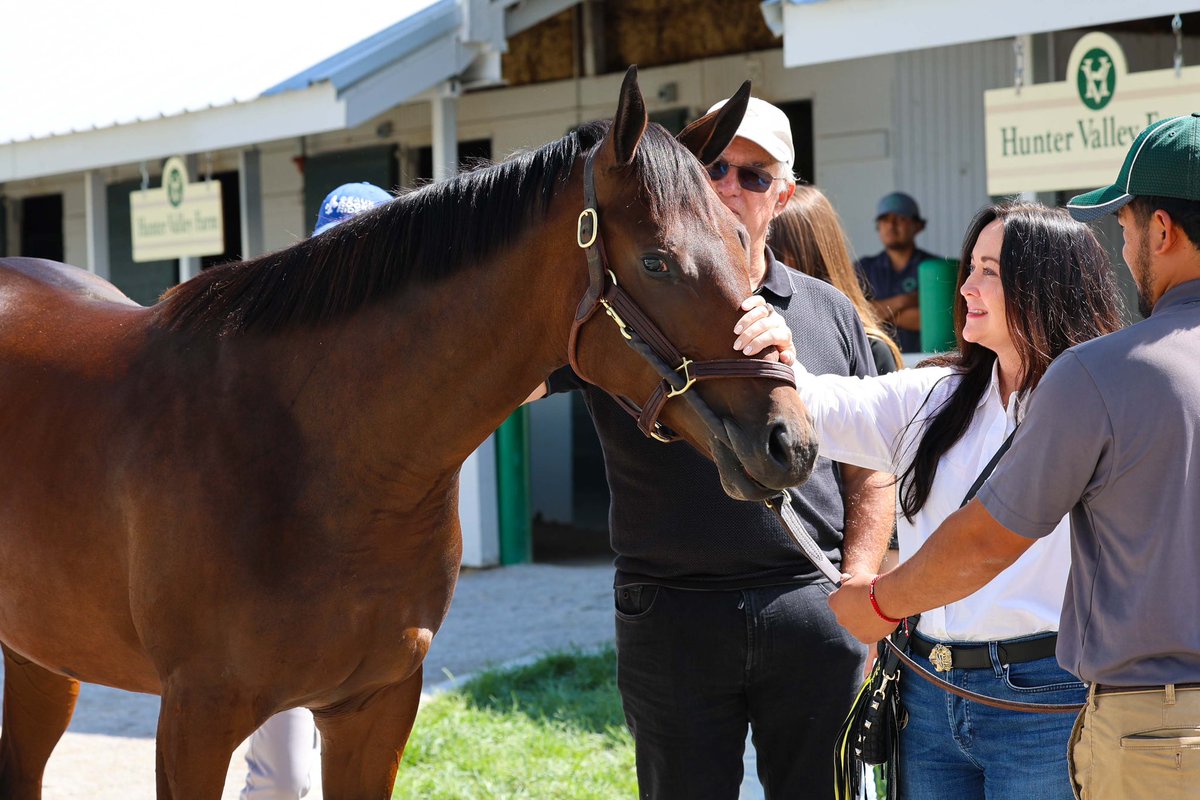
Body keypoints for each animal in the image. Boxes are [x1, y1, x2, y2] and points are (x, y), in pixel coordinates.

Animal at [0, 67, 816, 796]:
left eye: (740, 238)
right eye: (656, 260)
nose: (791, 441)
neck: (315, 456)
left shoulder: (375, 707)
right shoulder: (194, 721)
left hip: (42, 657)